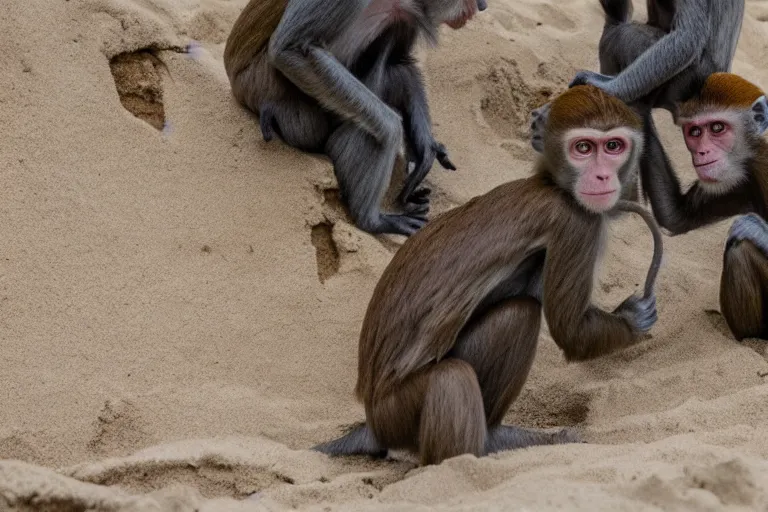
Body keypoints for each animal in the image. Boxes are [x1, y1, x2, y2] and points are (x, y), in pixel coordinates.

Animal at [222, 0, 486, 236]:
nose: (482, 6)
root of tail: (238, 84)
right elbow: (290, 47)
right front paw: (393, 130)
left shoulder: (405, 12)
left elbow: (400, 61)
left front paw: (424, 146)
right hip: (278, 97)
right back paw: (370, 220)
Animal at [310, 85, 660, 468]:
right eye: (583, 148)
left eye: (613, 146)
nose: (601, 176)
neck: (550, 184)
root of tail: (372, 421)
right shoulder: (577, 222)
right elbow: (572, 333)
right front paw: (633, 318)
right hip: (395, 414)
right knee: (475, 355)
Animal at [640, 73, 768, 340]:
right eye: (695, 131)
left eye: (717, 128)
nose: (701, 152)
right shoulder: (743, 177)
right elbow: (677, 215)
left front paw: (754, 227)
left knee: (740, 248)